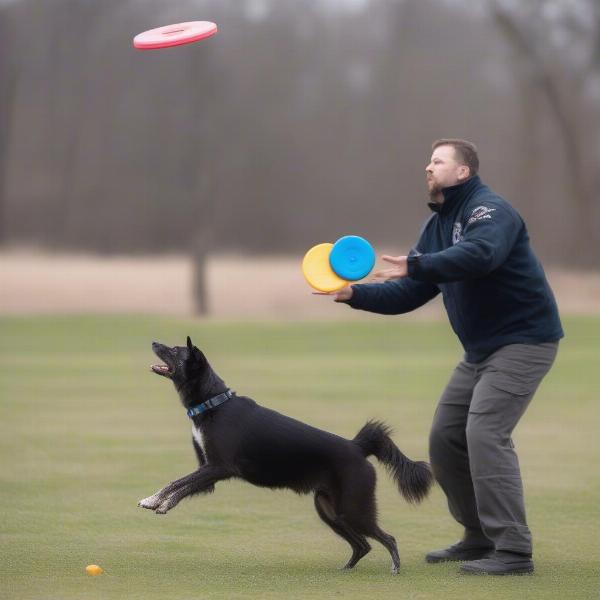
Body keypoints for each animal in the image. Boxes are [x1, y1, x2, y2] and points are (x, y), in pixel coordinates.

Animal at [139, 336, 434, 576]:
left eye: (174, 350)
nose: (153, 341)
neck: (214, 403)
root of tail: (357, 447)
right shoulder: (208, 472)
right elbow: (181, 483)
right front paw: (155, 500)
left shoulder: (219, 467)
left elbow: (178, 483)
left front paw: (157, 502)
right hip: (329, 509)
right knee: (362, 545)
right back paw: (347, 569)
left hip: (353, 507)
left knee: (387, 538)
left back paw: (395, 568)